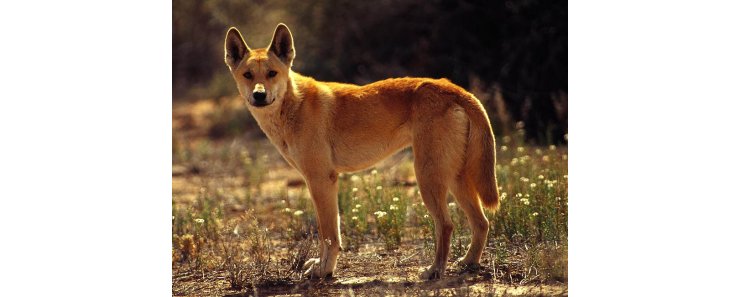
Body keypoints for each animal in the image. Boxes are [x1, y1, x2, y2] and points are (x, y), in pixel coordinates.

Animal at [223, 23, 500, 280]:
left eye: (272, 73)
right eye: (248, 75)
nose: (259, 95)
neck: (293, 105)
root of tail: (455, 89)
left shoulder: (320, 179)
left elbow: (328, 235)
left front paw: (324, 271)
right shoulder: (323, 181)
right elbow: (330, 232)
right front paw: (323, 266)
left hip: (428, 177)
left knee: (447, 224)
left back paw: (435, 270)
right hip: (454, 178)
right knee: (481, 222)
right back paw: (469, 262)